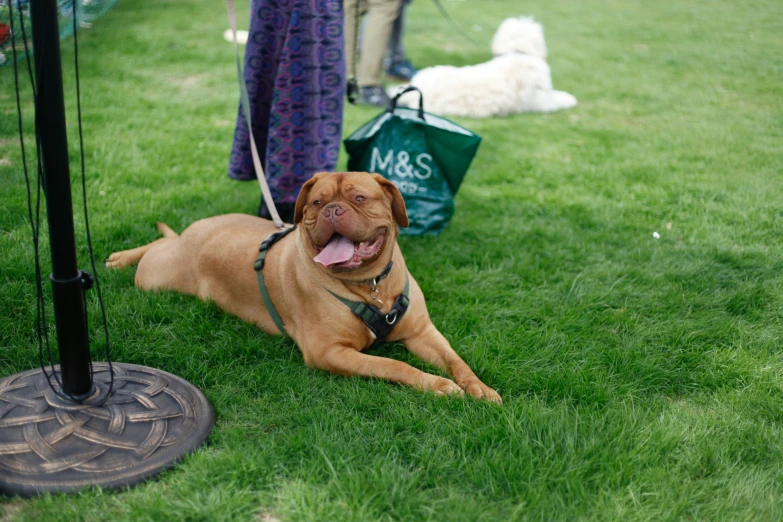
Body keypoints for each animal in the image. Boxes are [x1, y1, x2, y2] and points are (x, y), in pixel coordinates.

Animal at [105, 173, 502, 400]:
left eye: (359, 198)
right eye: (317, 201)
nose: (332, 210)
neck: (370, 285)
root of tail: (195, 231)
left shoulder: (422, 332)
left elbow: (456, 360)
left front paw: (479, 387)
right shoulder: (329, 351)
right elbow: (394, 365)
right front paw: (437, 385)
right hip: (156, 277)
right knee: (154, 248)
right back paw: (121, 258)